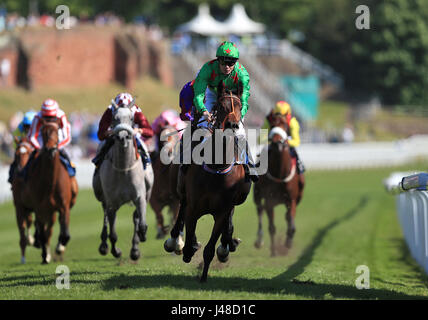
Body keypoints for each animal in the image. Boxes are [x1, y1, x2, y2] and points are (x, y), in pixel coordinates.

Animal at [25, 119, 77, 264]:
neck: (50, 182)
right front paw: (44, 255)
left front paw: (60, 247)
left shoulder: (64, 206)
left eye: (57, 131)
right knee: (43, 231)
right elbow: (43, 234)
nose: (50, 149)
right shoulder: (39, 208)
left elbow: (65, 234)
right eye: (43, 132)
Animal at [93, 106, 155, 262]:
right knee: (105, 216)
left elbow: (141, 224)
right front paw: (116, 252)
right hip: (100, 194)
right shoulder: (112, 203)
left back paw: (135, 249)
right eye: (114, 117)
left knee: (135, 218)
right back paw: (103, 246)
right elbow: (113, 234)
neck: (123, 169)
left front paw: (141, 238)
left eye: (132, 118)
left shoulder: (140, 196)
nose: (123, 136)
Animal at [164, 86, 251, 282]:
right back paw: (175, 241)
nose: (233, 125)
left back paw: (227, 244)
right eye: (221, 106)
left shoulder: (222, 212)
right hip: (182, 191)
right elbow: (189, 235)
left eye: (239, 106)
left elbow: (211, 248)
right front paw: (189, 248)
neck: (217, 167)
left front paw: (204, 275)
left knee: (229, 221)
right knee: (181, 211)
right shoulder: (194, 207)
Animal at [254, 114, 304, 256]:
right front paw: (273, 250)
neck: (280, 173)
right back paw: (259, 240)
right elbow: (271, 227)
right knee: (259, 210)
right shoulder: (269, 201)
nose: (277, 142)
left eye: (285, 125)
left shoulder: (292, 200)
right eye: (272, 125)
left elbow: (291, 223)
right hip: (257, 195)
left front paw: (288, 242)